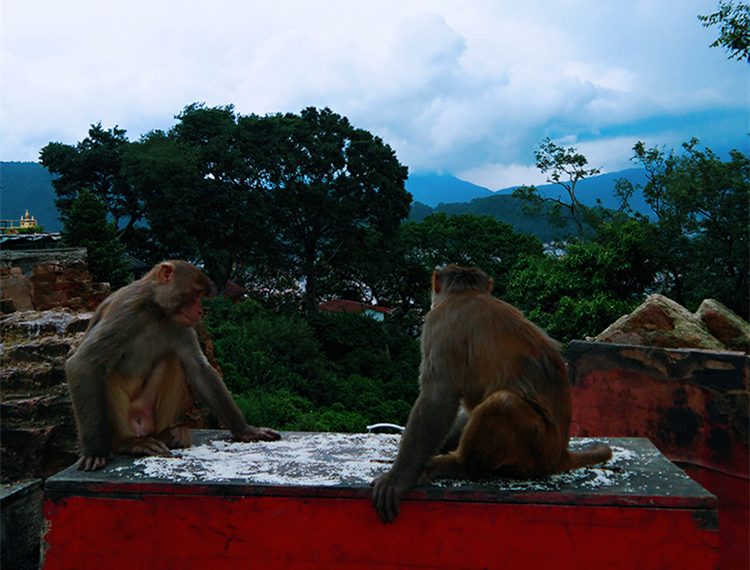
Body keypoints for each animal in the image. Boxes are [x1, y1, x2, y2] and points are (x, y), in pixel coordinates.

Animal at [64, 260, 280, 468]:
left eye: (202, 295)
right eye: (196, 293)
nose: (200, 311)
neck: (158, 311)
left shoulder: (181, 326)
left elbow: (198, 369)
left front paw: (245, 430)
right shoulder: (127, 311)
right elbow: (84, 362)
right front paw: (95, 452)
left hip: (148, 413)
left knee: (173, 361)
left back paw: (168, 434)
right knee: (105, 374)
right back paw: (128, 442)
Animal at [374, 264, 612, 520]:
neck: (466, 293)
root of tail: (560, 451)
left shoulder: (439, 326)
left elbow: (439, 398)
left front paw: (397, 478)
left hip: (537, 448)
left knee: (502, 403)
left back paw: (461, 465)